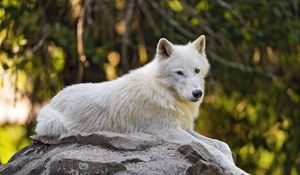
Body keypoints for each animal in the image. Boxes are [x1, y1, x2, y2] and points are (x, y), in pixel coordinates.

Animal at [35, 35, 248, 174]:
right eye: (179, 72)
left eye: (196, 70)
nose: (197, 93)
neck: (164, 92)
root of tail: (54, 98)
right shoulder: (169, 131)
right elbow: (213, 150)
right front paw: (237, 170)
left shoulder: (186, 128)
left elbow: (222, 145)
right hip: (52, 121)